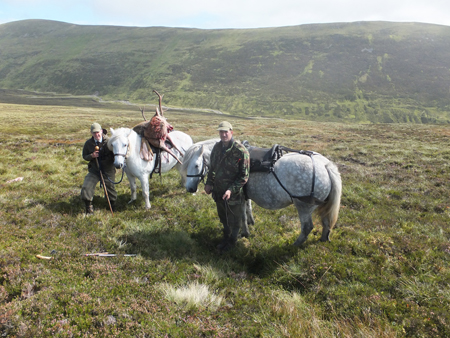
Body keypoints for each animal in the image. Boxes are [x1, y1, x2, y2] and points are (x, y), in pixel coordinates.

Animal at [179, 139, 342, 247]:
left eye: (196, 165)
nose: (190, 189)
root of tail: (325, 165)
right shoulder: (245, 195)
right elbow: (248, 210)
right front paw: (251, 224)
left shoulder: (237, 196)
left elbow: (242, 215)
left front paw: (244, 233)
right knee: (326, 222)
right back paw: (323, 238)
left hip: (304, 206)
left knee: (307, 227)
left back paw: (294, 244)